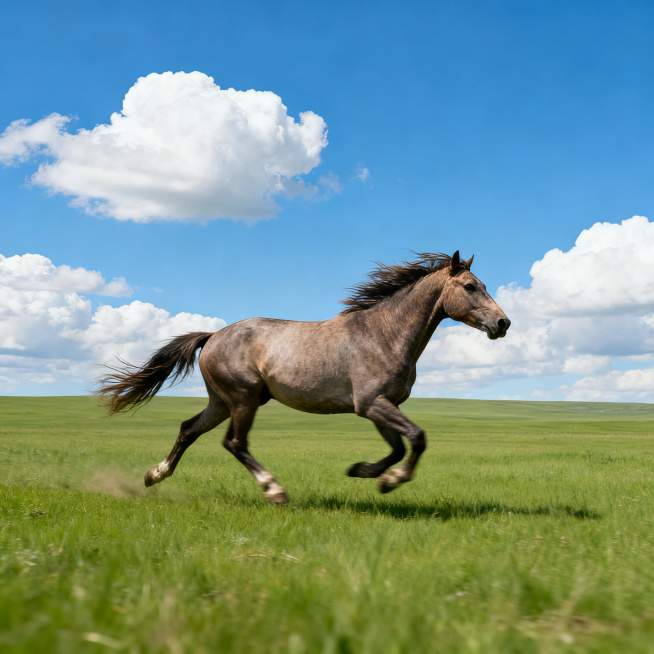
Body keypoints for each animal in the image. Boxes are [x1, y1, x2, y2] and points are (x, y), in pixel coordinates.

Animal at [96, 250, 510, 504]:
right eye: (470, 286)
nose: (503, 323)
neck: (385, 333)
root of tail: (212, 336)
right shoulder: (372, 403)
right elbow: (417, 439)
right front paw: (390, 481)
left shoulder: (379, 406)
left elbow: (397, 447)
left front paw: (363, 472)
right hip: (244, 398)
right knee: (234, 443)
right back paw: (274, 490)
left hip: (223, 401)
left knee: (188, 429)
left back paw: (154, 475)